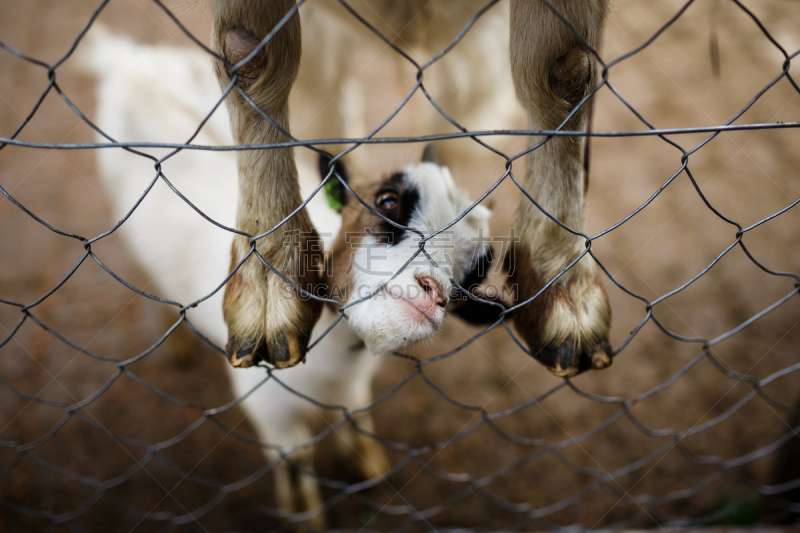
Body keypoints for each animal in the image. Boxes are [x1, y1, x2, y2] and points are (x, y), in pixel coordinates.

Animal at [86, 31, 500, 528]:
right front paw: (307, 518)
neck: (335, 359)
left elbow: (354, 415)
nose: (432, 292)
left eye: (476, 273)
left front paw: (368, 464)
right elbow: (296, 459)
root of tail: (128, 59)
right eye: (387, 199)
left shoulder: (349, 388)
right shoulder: (268, 404)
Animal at [205, 0, 612, 376]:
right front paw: (268, 289)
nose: (434, 290)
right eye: (387, 200)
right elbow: (250, 54)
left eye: (475, 277)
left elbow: (565, 71)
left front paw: (563, 293)